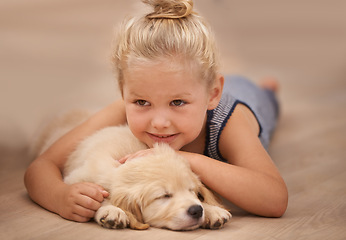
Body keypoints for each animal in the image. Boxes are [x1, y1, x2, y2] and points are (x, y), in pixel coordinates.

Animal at [36, 112, 231, 231]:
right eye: (164, 196)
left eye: (192, 191)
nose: (196, 211)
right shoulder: (77, 177)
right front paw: (112, 211)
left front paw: (211, 210)